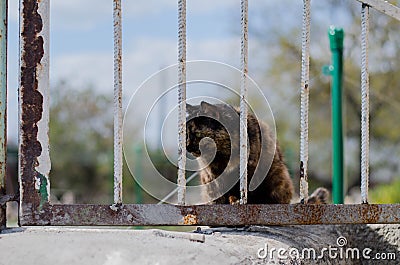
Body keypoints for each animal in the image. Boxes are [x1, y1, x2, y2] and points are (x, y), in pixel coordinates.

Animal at [185, 101, 328, 204]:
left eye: (197, 134)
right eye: (185, 134)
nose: (187, 147)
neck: (223, 155)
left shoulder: (250, 169)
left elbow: (246, 189)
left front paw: (239, 201)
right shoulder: (211, 176)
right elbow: (218, 194)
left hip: (277, 176)